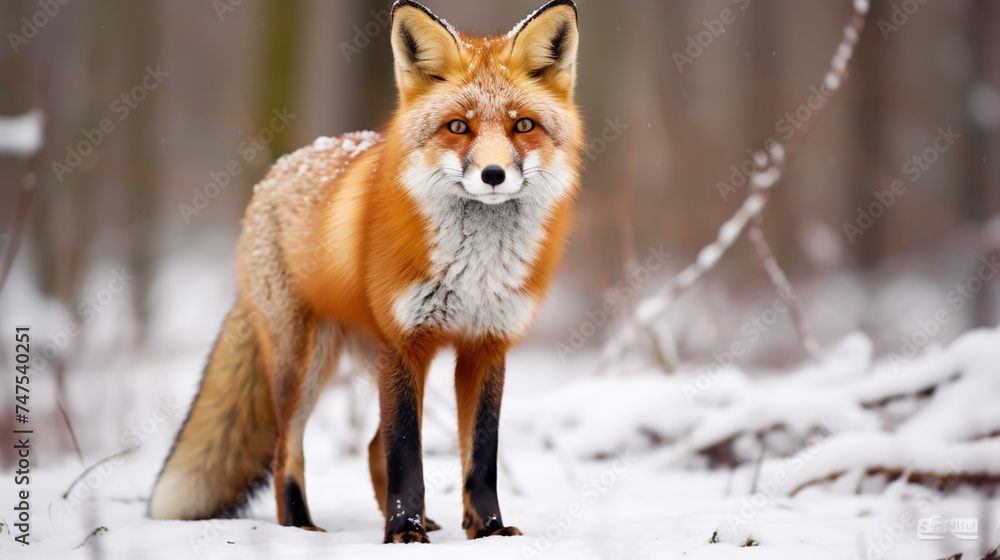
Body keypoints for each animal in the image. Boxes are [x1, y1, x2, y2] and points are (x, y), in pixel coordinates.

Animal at [149, 0, 584, 544]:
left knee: (371, 445)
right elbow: (405, 454)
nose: (493, 174)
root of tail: (276, 172)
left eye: (523, 126)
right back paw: (300, 527)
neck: (474, 270)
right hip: (304, 363)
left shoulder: (486, 344)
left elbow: (480, 457)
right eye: (457, 127)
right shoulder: (402, 342)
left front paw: (487, 531)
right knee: (288, 450)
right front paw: (403, 536)